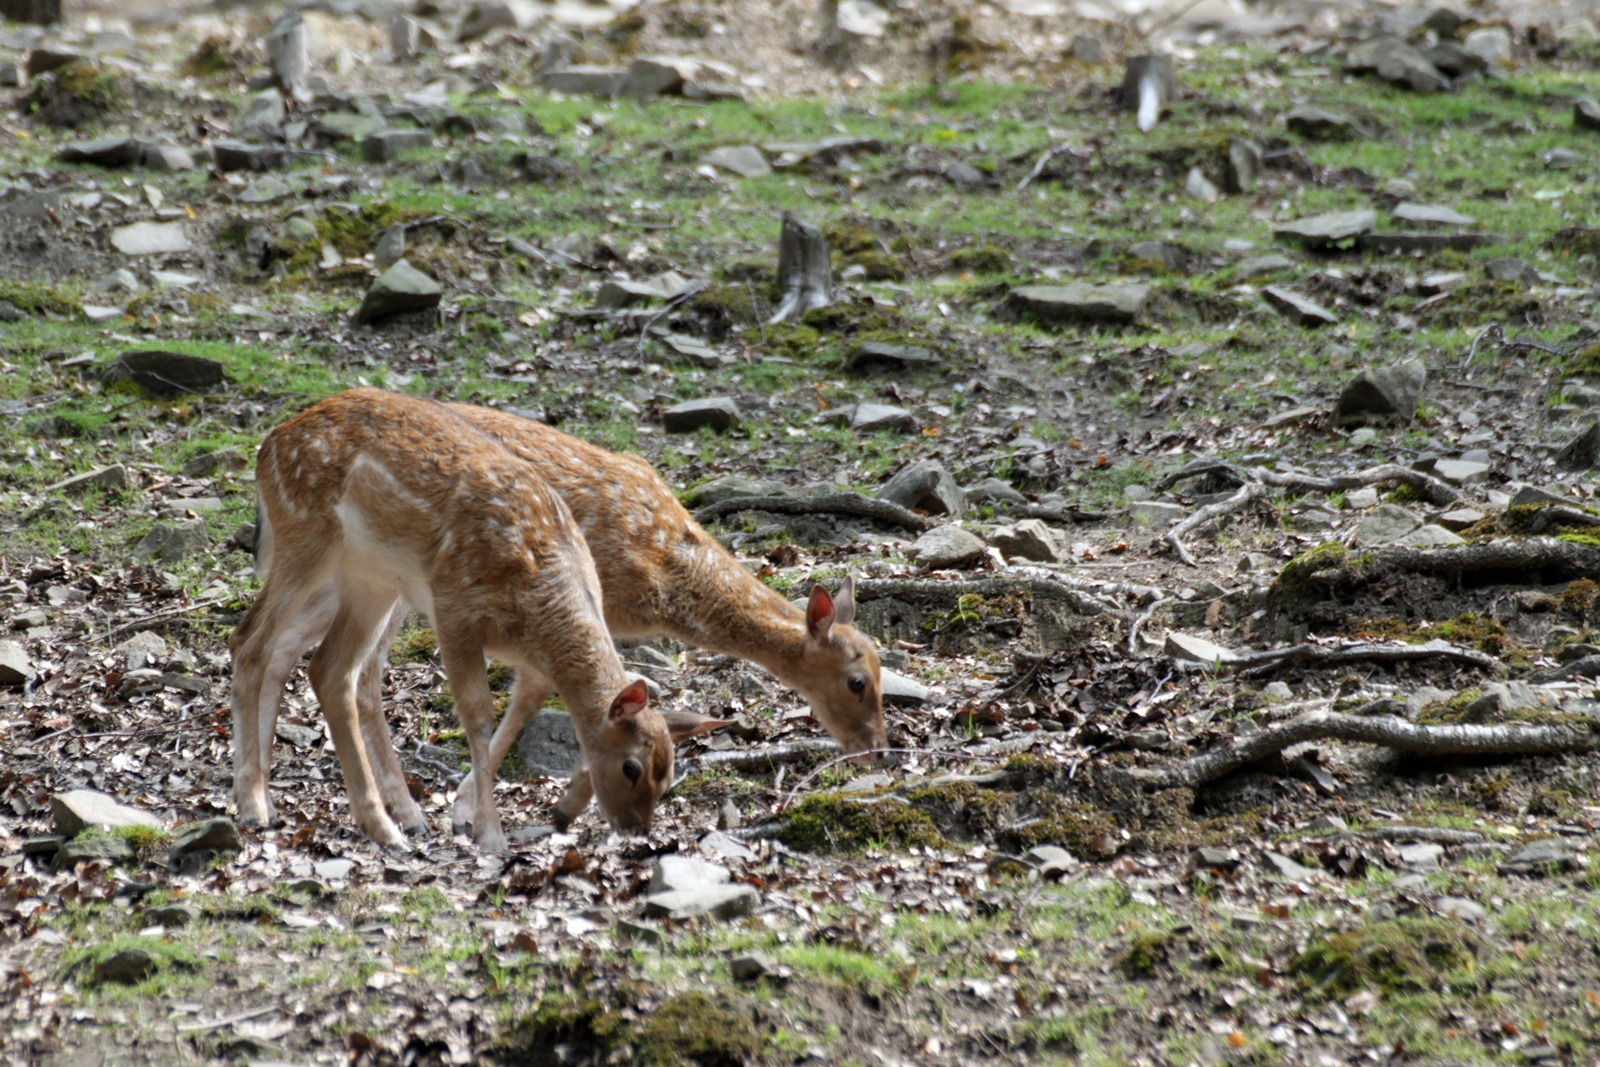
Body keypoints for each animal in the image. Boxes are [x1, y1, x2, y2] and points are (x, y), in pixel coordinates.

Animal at [227, 391, 720, 851]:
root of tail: (269, 445)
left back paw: (381, 823)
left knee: (329, 668)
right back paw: (255, 805)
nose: (636, 831)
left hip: (372, 579)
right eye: (631, 767)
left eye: (667, 777)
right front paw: (488, 834)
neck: (539, 605)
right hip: (306, 534)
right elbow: (478, 714)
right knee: (250, 640)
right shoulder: (454, 607)